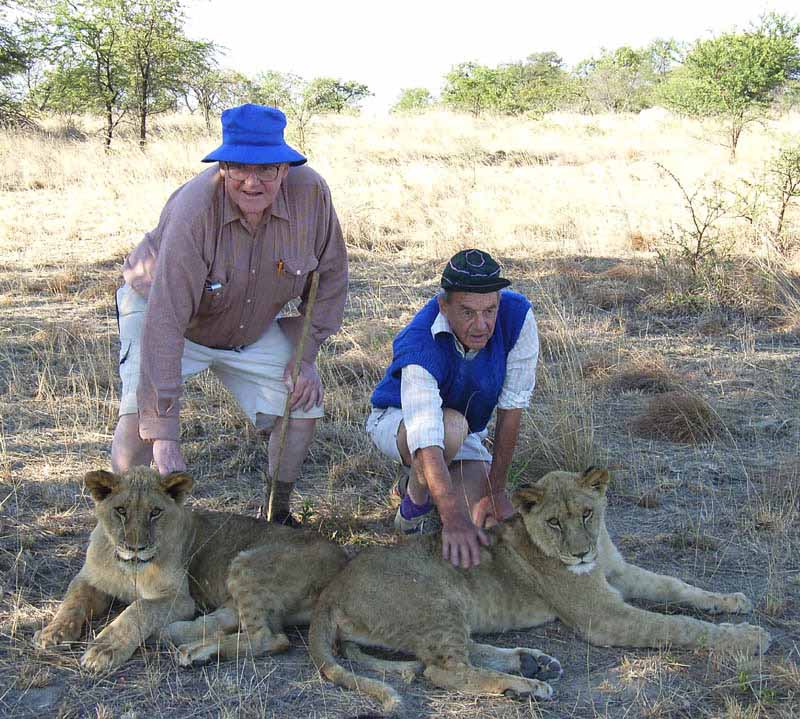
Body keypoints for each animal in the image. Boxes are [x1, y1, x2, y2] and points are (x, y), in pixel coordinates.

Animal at [35, 470, 346, 672]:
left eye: (155, 512)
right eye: (121, 510)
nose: (136, 548)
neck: (127, 567)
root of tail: (343, 561)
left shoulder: (180, 598)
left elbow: (138, 610)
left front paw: (103, 650)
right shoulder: (89, 579)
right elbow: (72, 602)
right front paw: (52, 633)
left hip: (247, 563)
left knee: (271, 638)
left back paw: (192, 651)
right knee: (229, 620)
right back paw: (175, 637)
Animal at [310, 466, 772, 716]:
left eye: (587, 513)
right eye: (554, 522)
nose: (580, 553)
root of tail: (331, 590)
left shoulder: (618, 573)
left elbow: (676, 586)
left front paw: (732, 602)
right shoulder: (602, 615)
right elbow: (675, 626)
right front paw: (749, 637)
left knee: (449, 656)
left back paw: (533, 663)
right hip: (437, 601)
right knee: (441, 671)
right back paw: (528, 686)